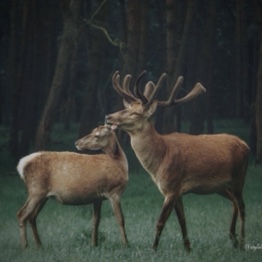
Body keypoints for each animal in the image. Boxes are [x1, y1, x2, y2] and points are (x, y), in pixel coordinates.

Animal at [106, 70, 250, 251]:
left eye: (135, 113)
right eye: (127, 108)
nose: (108, 116)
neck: (160, 159)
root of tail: (245, 145)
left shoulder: (172, 187)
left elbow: (160, 222)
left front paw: (154, 249)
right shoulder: (176, 191)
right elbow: (182, 221)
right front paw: (188, 249)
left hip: (239, 176)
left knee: (242, 206)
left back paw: (243, 243)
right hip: (220, 186)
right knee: (234, 203)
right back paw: (233, 238)